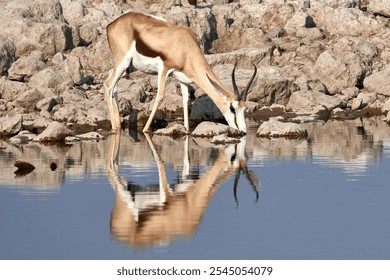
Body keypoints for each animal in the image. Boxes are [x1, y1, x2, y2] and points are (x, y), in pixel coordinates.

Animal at [103, 12, 258, 135]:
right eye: (232, 108)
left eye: (245, 109)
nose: (243, 131)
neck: (185, 45)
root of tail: (111, 25)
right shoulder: (164, 69)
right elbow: (160, 96)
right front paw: (146, 129)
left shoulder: (183, 78)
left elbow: (185, 100)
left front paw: (186, 130)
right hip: (123, 62)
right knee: (108, 84)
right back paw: (114, 128)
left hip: (128, 67)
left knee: (112, 82)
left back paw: (118, 124)